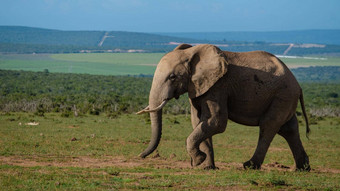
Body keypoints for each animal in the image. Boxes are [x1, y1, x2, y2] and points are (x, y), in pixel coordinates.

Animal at [136, 44, 310, 171]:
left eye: (172, 77)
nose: (140, 156)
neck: (191, 53)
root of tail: (299, 86)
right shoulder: (198, 87)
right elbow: (198, 121)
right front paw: (206, 167)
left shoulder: (218, 86)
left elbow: (215, 121)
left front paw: (197, 161)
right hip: (285, 98)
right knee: (288, 129)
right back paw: (302, 169)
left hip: (282, 95)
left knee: (268, 126)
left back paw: (249, 166)